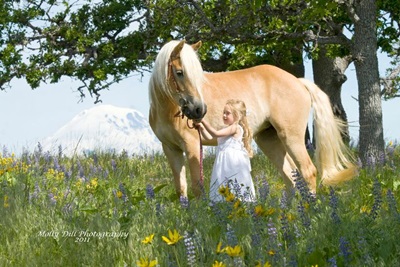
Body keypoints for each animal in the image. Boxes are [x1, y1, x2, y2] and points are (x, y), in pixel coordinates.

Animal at [148, 39, 356, 199]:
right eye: (179, 72)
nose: (199, 110)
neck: (167, 110)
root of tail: (298, 81)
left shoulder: (192, 146)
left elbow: (197, 186)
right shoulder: (171, 149)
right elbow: (181, 188)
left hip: (291, 137)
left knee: (308, 171)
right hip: (268, 139)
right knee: (290, 176)